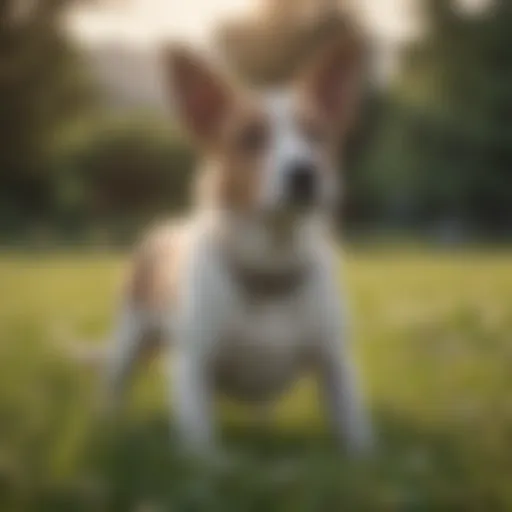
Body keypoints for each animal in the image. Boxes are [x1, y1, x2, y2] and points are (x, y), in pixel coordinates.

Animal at [105, 37, 376, 460]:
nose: (305, 172)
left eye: (316, 133)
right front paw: (212, 466)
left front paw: (365, 458)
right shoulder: (194, 363)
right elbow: (201, 438)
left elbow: (353, 420)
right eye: (251, 137)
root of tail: (162, 228)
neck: (270, 266)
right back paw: (110, 423)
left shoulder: (335, 359)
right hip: (129, 335)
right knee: (116, 382)